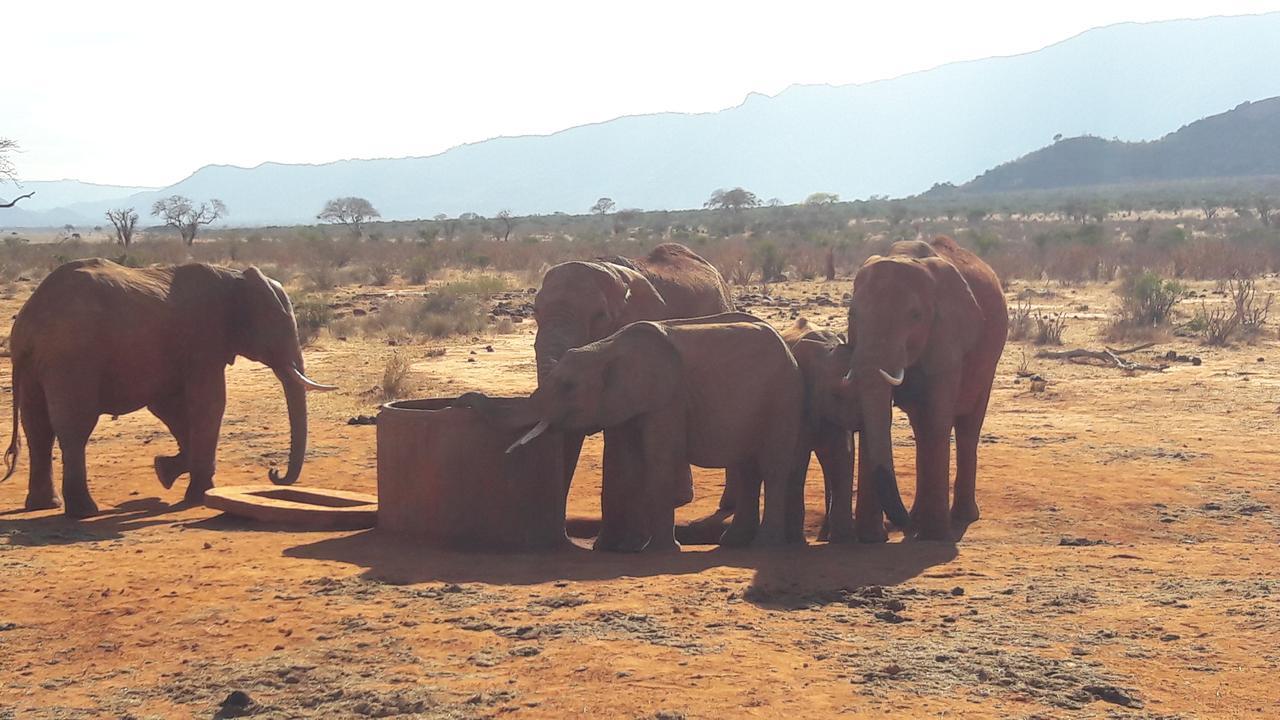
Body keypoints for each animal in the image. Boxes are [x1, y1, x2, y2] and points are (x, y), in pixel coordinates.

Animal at [460, 313, 803, 548]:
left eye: (568, 387)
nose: (463, 399)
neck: (607, 350)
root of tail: (788, 348)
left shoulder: (667, 397)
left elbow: (659, 459)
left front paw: (660, 551)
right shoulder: (629, 403)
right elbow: (632, 462)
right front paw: (631, 548)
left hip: (782, 396)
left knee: (773, 468)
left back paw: (764, 545)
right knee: (748, 469)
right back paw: (733, 542)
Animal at [839, 234, 1008, 538]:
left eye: (915, 316)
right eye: (852, 315)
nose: (899, 522)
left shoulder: (947, 337)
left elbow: (937, 420)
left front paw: (934, 536)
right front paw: (871, 539)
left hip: (989, 360)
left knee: (967, 427)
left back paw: (958, 518)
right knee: (921, 428)